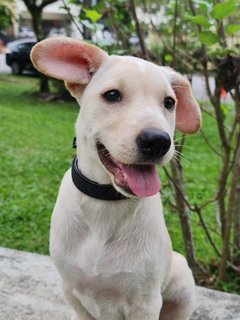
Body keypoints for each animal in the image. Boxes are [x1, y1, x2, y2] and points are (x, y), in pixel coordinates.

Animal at [31, 38, 202, 320]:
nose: (158, 142)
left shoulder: (146, 302)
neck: (105, 203)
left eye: (169, 102)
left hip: (182, 284)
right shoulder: (72, 291)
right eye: (112, 95)